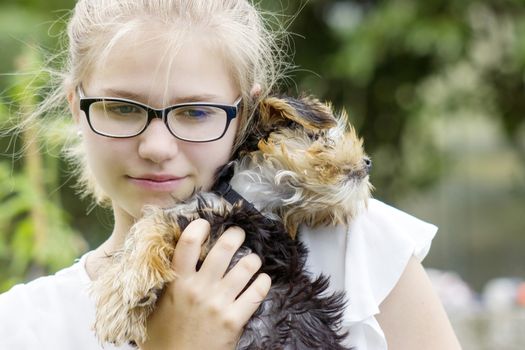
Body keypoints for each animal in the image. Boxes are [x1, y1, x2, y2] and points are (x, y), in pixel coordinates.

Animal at [91, 95, 372, 348]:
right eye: (321, 138)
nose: (368, 162)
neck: (252, 197)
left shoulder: (226, 225)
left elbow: (155, 223)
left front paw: (124, 300)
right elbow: (150, 224)